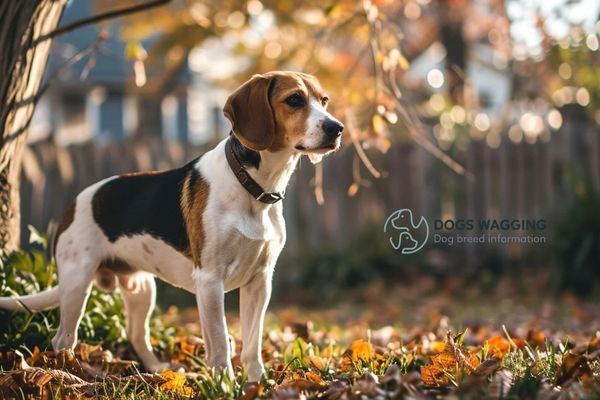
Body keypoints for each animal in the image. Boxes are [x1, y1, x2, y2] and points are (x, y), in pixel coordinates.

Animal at [0, 71, 342, 382]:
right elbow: (220, 342)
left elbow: (251, 344)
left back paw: (159, 373)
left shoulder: (259, 281)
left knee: (136, 335)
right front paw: (225, 384)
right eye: (294, 100)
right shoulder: (210, 280)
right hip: (76, 283)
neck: (252, 186)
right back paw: (68, 372)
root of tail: (74, 203)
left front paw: (255, 383)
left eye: (324, 100)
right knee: (63, 338)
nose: (336, 128)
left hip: (142, 290)